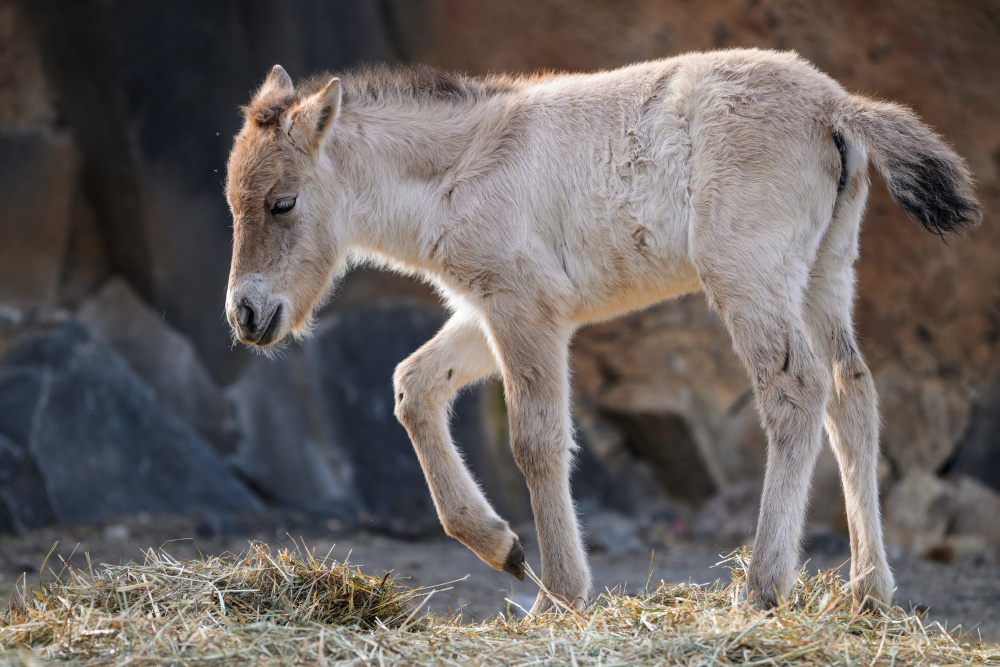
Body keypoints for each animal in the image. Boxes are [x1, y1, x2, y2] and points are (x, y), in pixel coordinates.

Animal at [223, 49, 980, 616]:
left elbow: (536, 442)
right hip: (826, 271)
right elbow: (414, 385)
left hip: (749, 273)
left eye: (282, 202)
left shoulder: (523, 308)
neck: (462, 165)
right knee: (854, 396)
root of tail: (835, 105)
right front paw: (502, 546)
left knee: (794, 391)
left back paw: (764, 587)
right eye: (233, 201)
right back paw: (868, 591)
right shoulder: (492, 311)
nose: (246, 315)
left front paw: (557, 594)